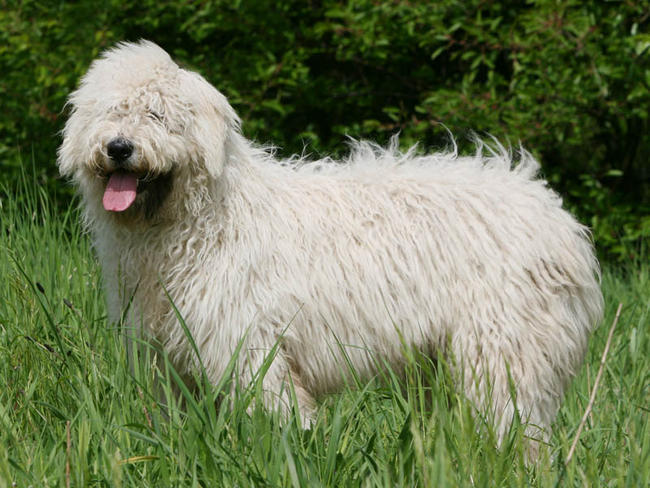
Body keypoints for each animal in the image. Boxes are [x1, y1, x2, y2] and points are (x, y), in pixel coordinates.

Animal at [57, 41, 604, 454]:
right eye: (110, 112)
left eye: (157, 113)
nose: (119, 147)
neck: (202, 219)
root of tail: (559, 220)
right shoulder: (169, 359)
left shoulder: (250, 346)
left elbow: (277, 418)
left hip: (506, 351)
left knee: (520, 426)